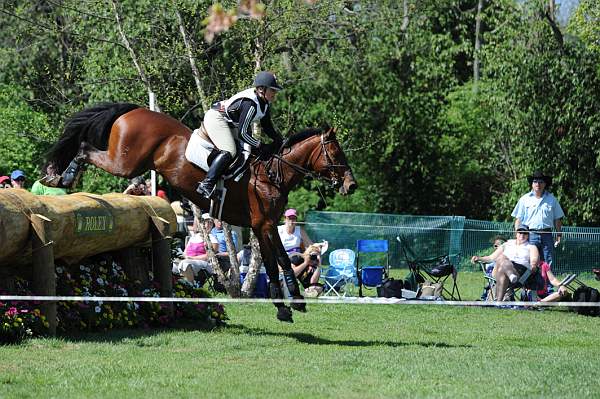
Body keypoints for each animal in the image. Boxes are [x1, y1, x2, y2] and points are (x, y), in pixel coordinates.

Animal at [45, 102, 356, 322]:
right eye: (336, 154)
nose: (351, 185)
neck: (271, 174)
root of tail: (135, 110)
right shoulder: (262, 224)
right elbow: (272, 261)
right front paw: (284, 308)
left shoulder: (267, 224)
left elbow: (280, 259)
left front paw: (295, 302)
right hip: (125, 162)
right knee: (84, 147)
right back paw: (63, 177)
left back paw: (60, 176)